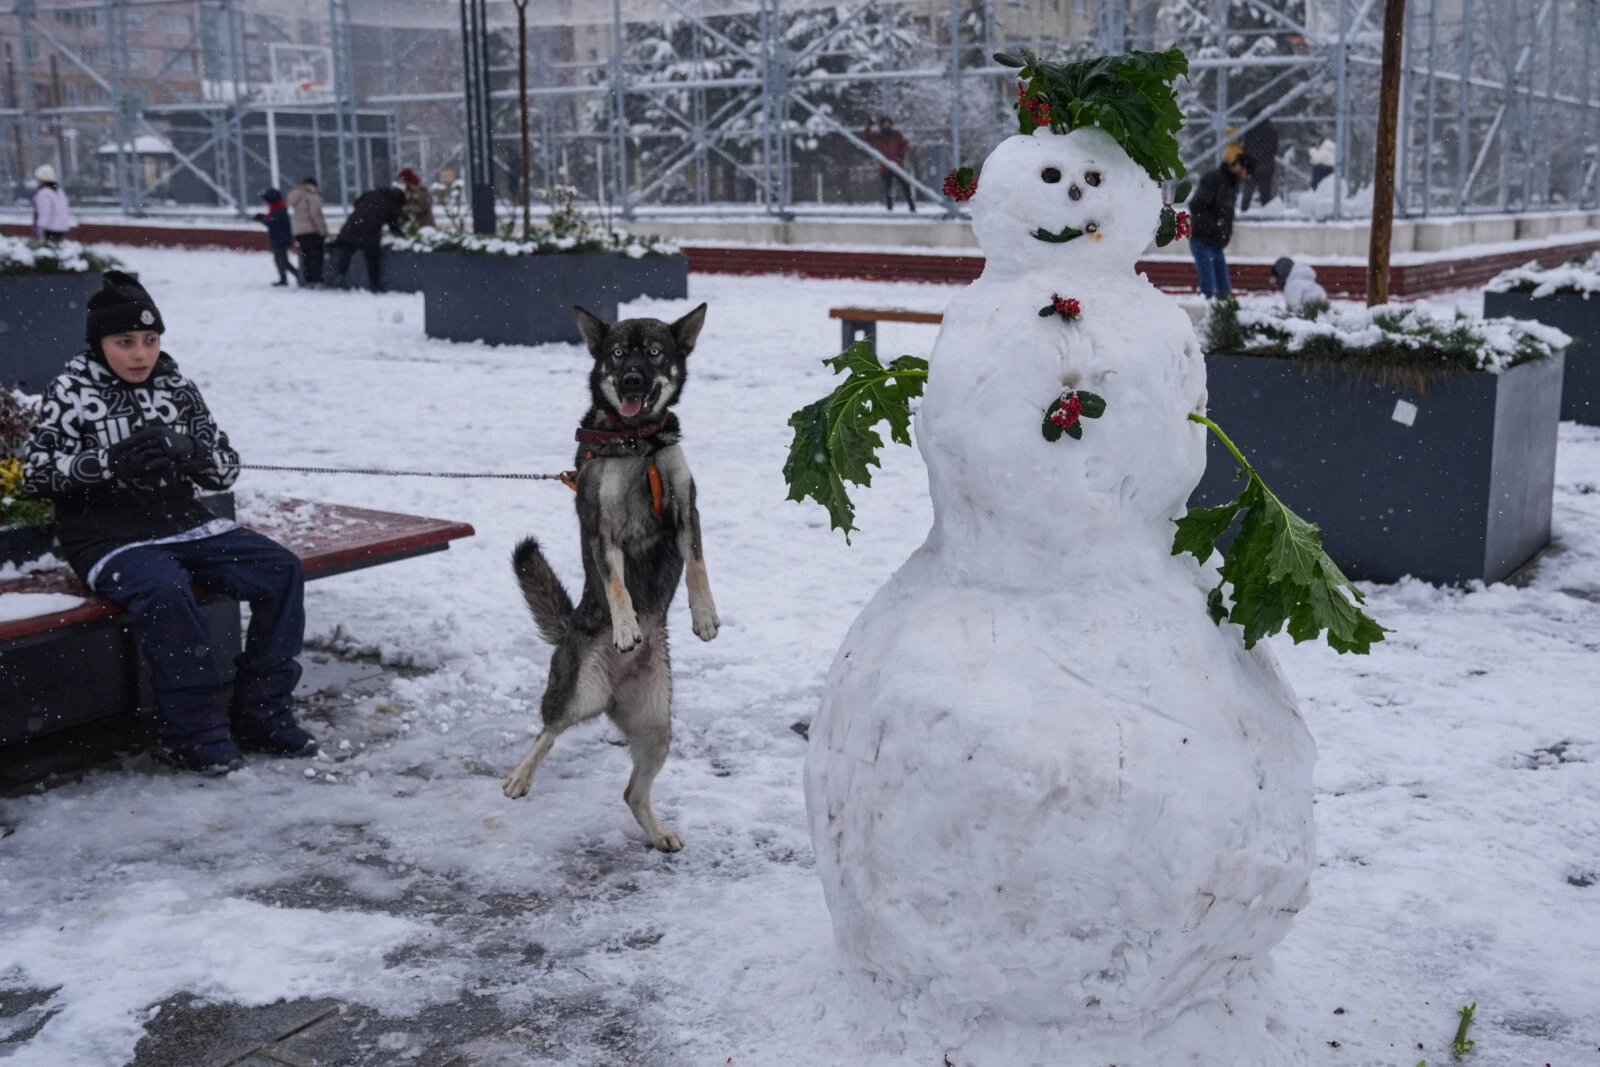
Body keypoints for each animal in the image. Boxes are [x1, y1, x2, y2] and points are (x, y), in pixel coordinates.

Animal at [505, 303, 720, 857]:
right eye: (618, 353)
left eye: (656, 353)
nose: (631, 380)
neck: (638, 442)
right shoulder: (603, 531)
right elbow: (617, 582)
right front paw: (626, 627)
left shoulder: (687, 510)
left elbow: (698, 564)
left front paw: (705, 616)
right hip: (576, 692)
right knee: (548, 729)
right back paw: (520, 776)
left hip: (657, 728)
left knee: (631, 792)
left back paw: (659, 832)